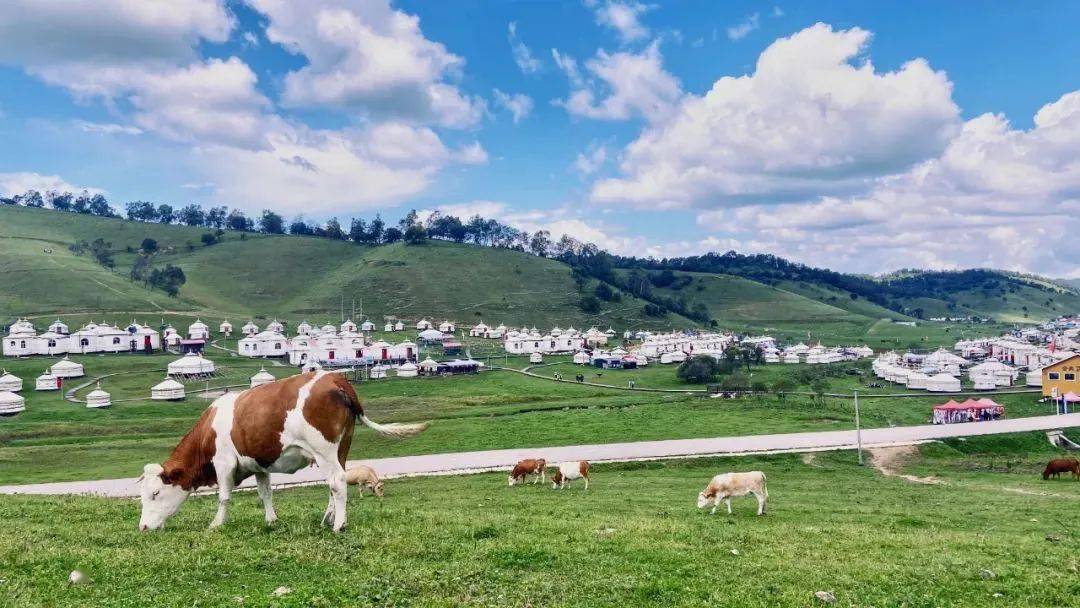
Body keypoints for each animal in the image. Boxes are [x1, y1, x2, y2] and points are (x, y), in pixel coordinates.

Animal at [139, 369, 429, 531]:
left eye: (155, 493)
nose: (142, 527)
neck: (208, 431)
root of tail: (336, 379)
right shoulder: (258, 464)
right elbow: (265, 493)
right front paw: (271, 521)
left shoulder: (224, 464)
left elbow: (224, 497)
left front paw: (216, 524)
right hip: (342, 448)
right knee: (336, 482)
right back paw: (328, 518)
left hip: (324, 450)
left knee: (337, 482)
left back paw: (338, 525)